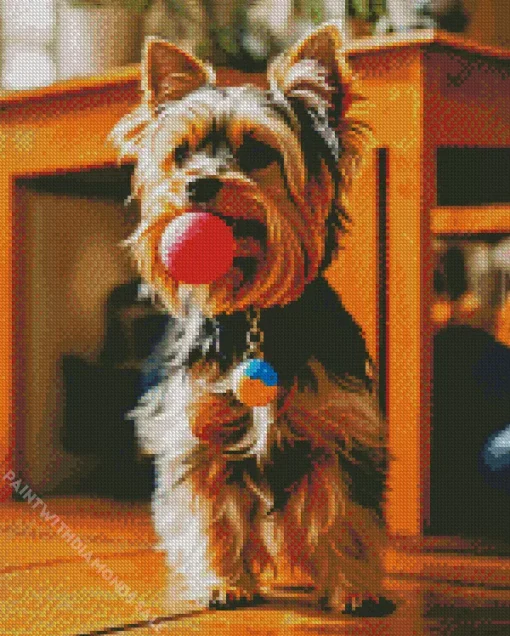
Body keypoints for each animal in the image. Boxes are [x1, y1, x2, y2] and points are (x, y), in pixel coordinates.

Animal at [110, 23, 394, 616]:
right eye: (182, 154)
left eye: (259, 152)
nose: (197, 184)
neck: (255, 315)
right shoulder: (200, 433)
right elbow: (212, 511)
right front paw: (223, 581)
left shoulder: (342, 429)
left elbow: (346, 513)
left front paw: (355, 588)